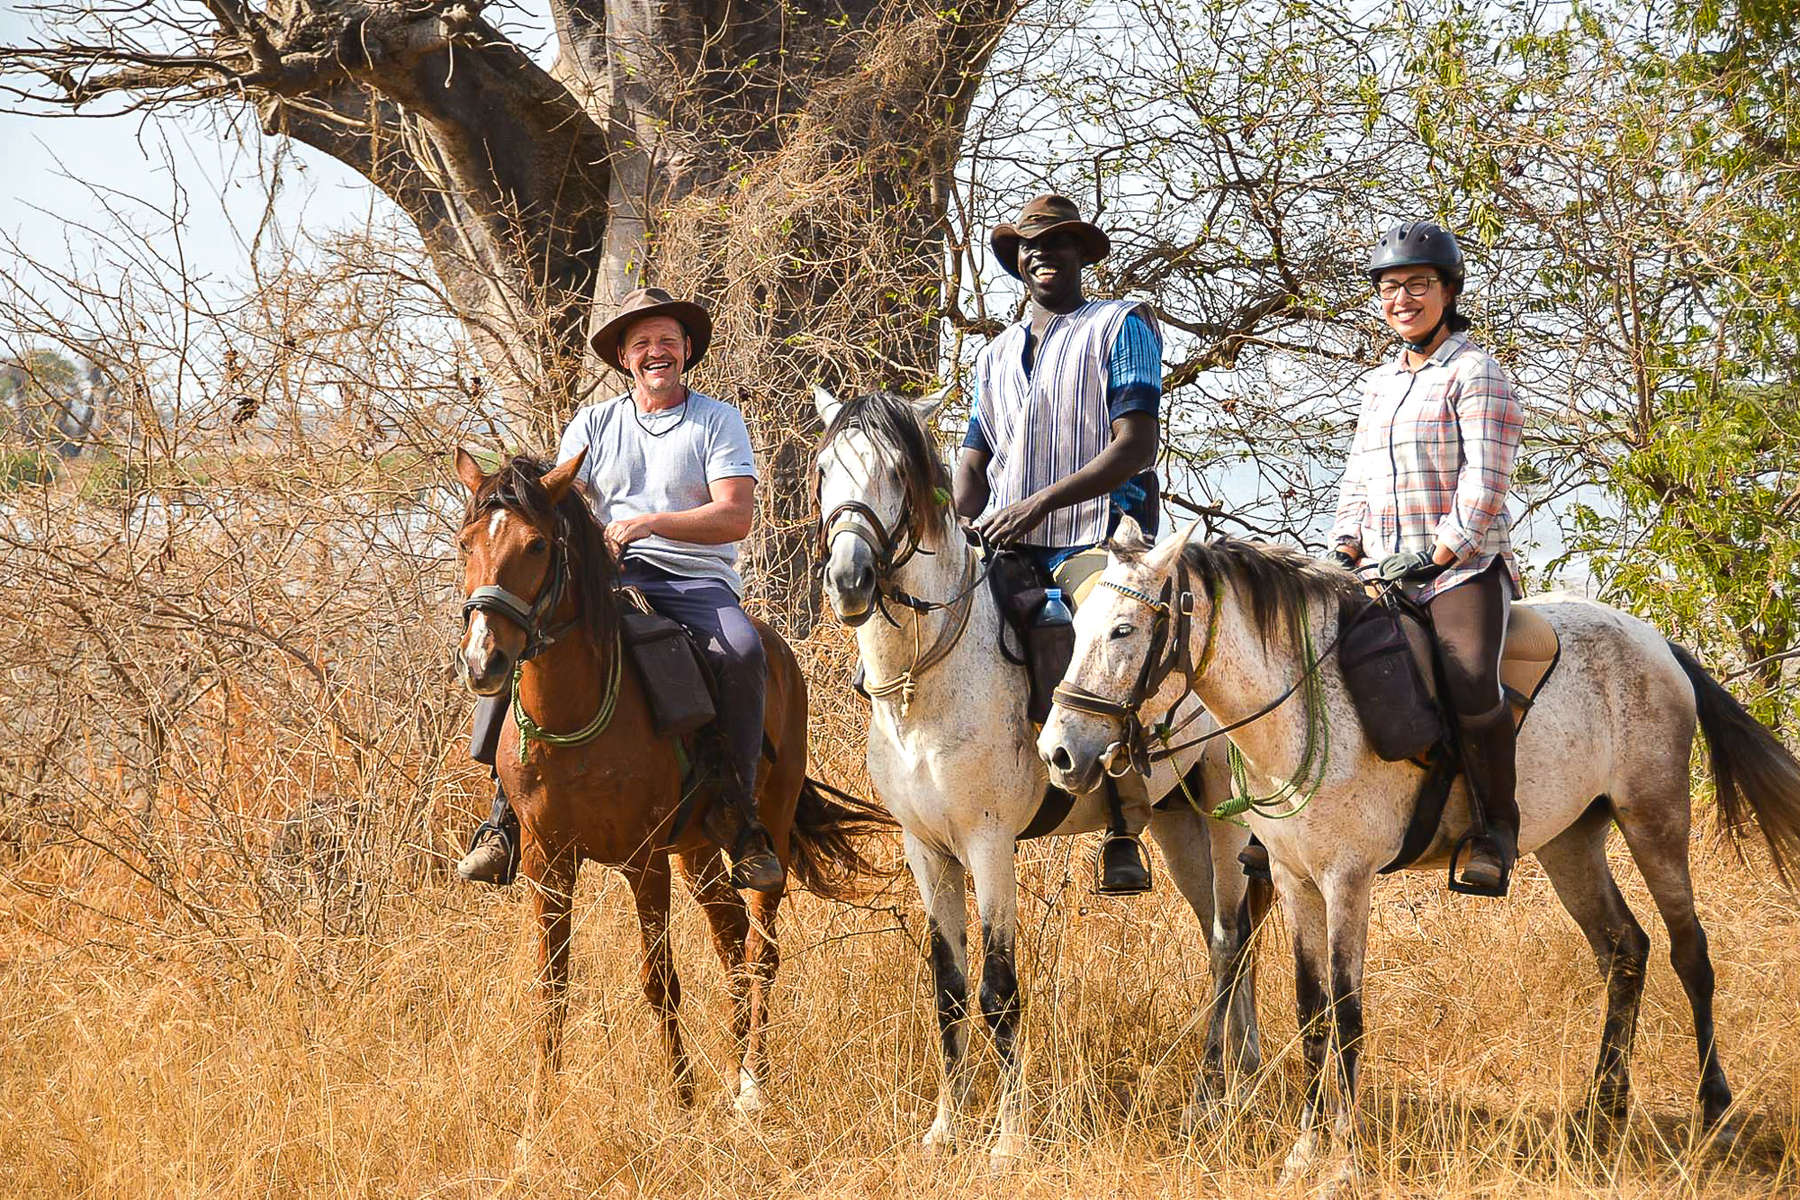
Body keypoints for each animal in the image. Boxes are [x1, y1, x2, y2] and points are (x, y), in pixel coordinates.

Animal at [453, 446, 889, 1115]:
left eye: (536, 545)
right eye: (465, 542)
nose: (484, 662)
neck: (575, 715)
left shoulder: (643, 859)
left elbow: (659, 981)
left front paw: (680, 1102)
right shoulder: (547, 861)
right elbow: (551, 988)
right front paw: (539, 1114)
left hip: (765, 828)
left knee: (760, 950)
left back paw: (752, 1084)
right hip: (699, 849)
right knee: (731, 941)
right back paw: (735, 1070)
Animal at [817, 390, 1267, 1158]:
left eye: (897, 474)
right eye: (824, 469)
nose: (851, 580)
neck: (927, 680)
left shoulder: (989, 845)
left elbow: (998, 988)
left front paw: (1007, 1138)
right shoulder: (926, 850)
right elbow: (948, 987)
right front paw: (946, 1127)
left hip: (1221, 817)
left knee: (1230, 941)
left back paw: (1219, 1099)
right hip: (1178, 825)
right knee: (1228, 940)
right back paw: (1246, 1079)